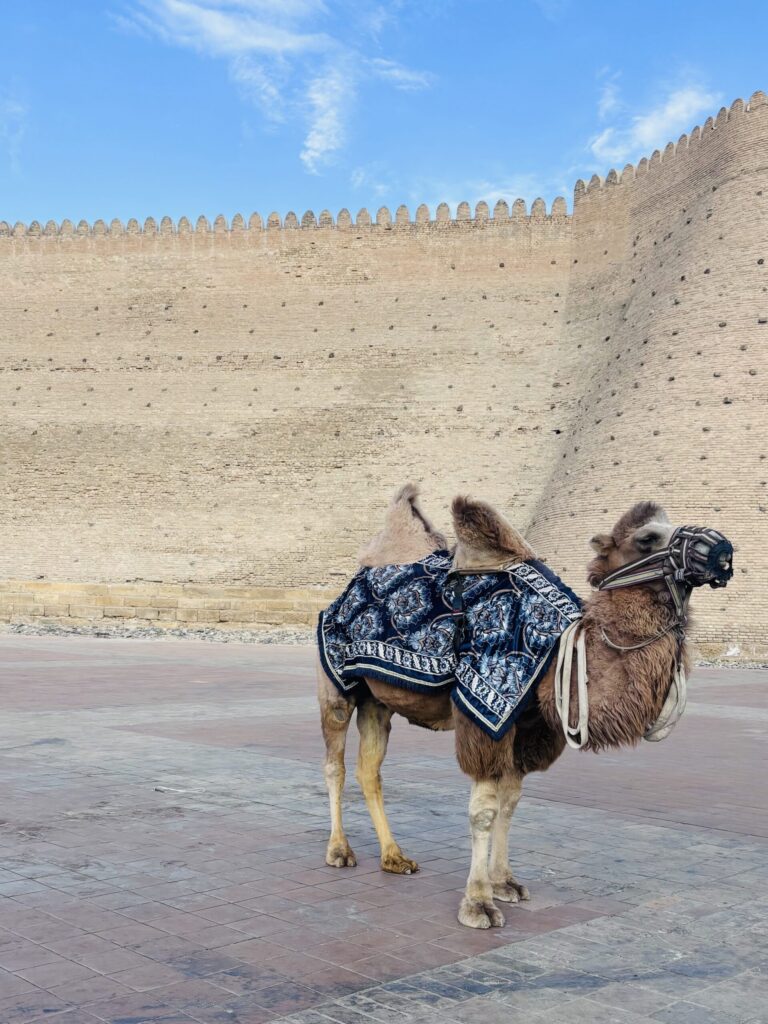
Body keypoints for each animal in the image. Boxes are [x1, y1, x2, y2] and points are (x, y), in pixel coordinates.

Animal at [317, 484, 733, 929]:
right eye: (648, 538)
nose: (722, 549)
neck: (558, 651)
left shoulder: (528, 725)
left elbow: (510, 802)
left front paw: (504, 883)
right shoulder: (485, 713)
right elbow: (483, 811)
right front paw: (478, 904)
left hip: (378, 700)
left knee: (369, 770)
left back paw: (394, 857)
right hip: (337, 684)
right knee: (335, 763)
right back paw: (339, 851)